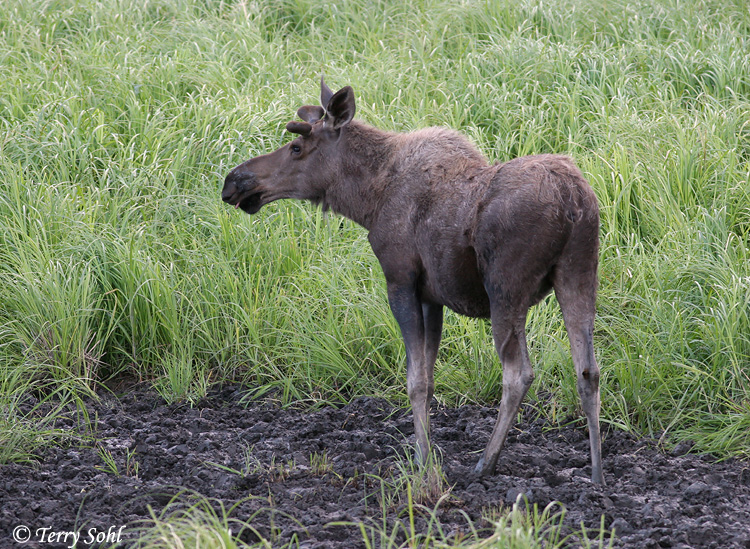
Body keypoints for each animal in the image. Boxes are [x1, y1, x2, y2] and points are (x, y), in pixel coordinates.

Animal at [222, 78, 604, 484]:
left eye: (296, 148)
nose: (234, 181)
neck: (367, 199)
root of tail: (573, 200)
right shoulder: (430, 296)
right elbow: (431, 378)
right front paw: (428, 449)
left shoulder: (400, 280)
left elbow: (416, 382)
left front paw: (422, 460)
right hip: (579, 272)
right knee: (588, 371)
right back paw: (597, 476)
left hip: (506, 288)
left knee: (518, 375)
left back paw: (485, 463)